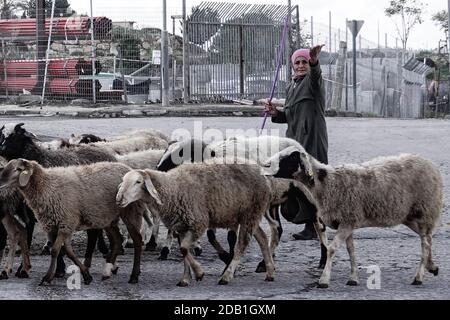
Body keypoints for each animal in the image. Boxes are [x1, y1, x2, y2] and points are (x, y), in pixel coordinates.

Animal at [0, 160, 145, 284]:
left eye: (18, 169)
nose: (0, 181)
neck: (46, 185)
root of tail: (129, 169)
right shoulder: (57, 225)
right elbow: (67, 251)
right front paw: (86, 275)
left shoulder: (66, 222)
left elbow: (55, 250)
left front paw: (48, 277)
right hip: (107, 217)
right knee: (117, 240)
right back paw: (107, 271)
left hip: (130, 211)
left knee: (137, 240)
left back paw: (134, 275)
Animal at [114, 161, 294, 286]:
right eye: (123, 180)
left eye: (138, 182)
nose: (119, 198)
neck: (172, 188)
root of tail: (264, 174)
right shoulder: (182, 226)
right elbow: (184, 251)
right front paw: (186, 279)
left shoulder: (198, 222)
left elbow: (184, 249)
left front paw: (199, 273)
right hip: (247, 215)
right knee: (263, 238)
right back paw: (270, 272)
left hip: (251, 212)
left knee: (241, 245)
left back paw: (227, 276)